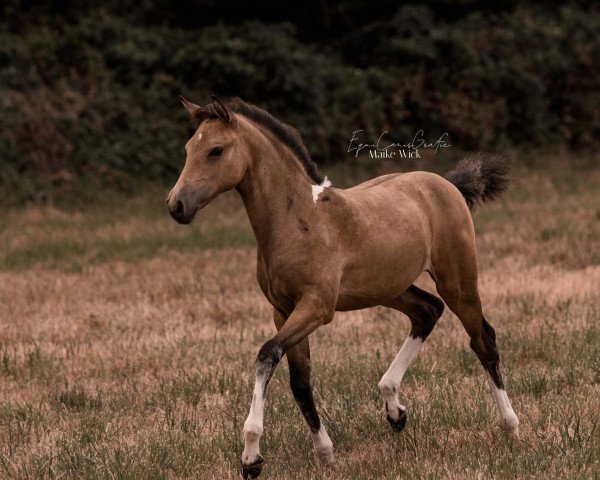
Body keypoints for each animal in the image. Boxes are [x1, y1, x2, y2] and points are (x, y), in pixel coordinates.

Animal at [166, 95, 516, 478]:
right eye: (188, 148)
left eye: (216, 150)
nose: (176, 205)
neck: (297, 220)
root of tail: (447, 184)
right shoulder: (283, 311)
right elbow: (300, 382)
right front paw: (325, 452)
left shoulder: (316, 308)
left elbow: (266, 354)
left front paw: (251, 456)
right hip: (389, 287)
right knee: (428, 311)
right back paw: (395, 410)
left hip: (458, 280)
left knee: (483, 340)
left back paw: (510, 426)